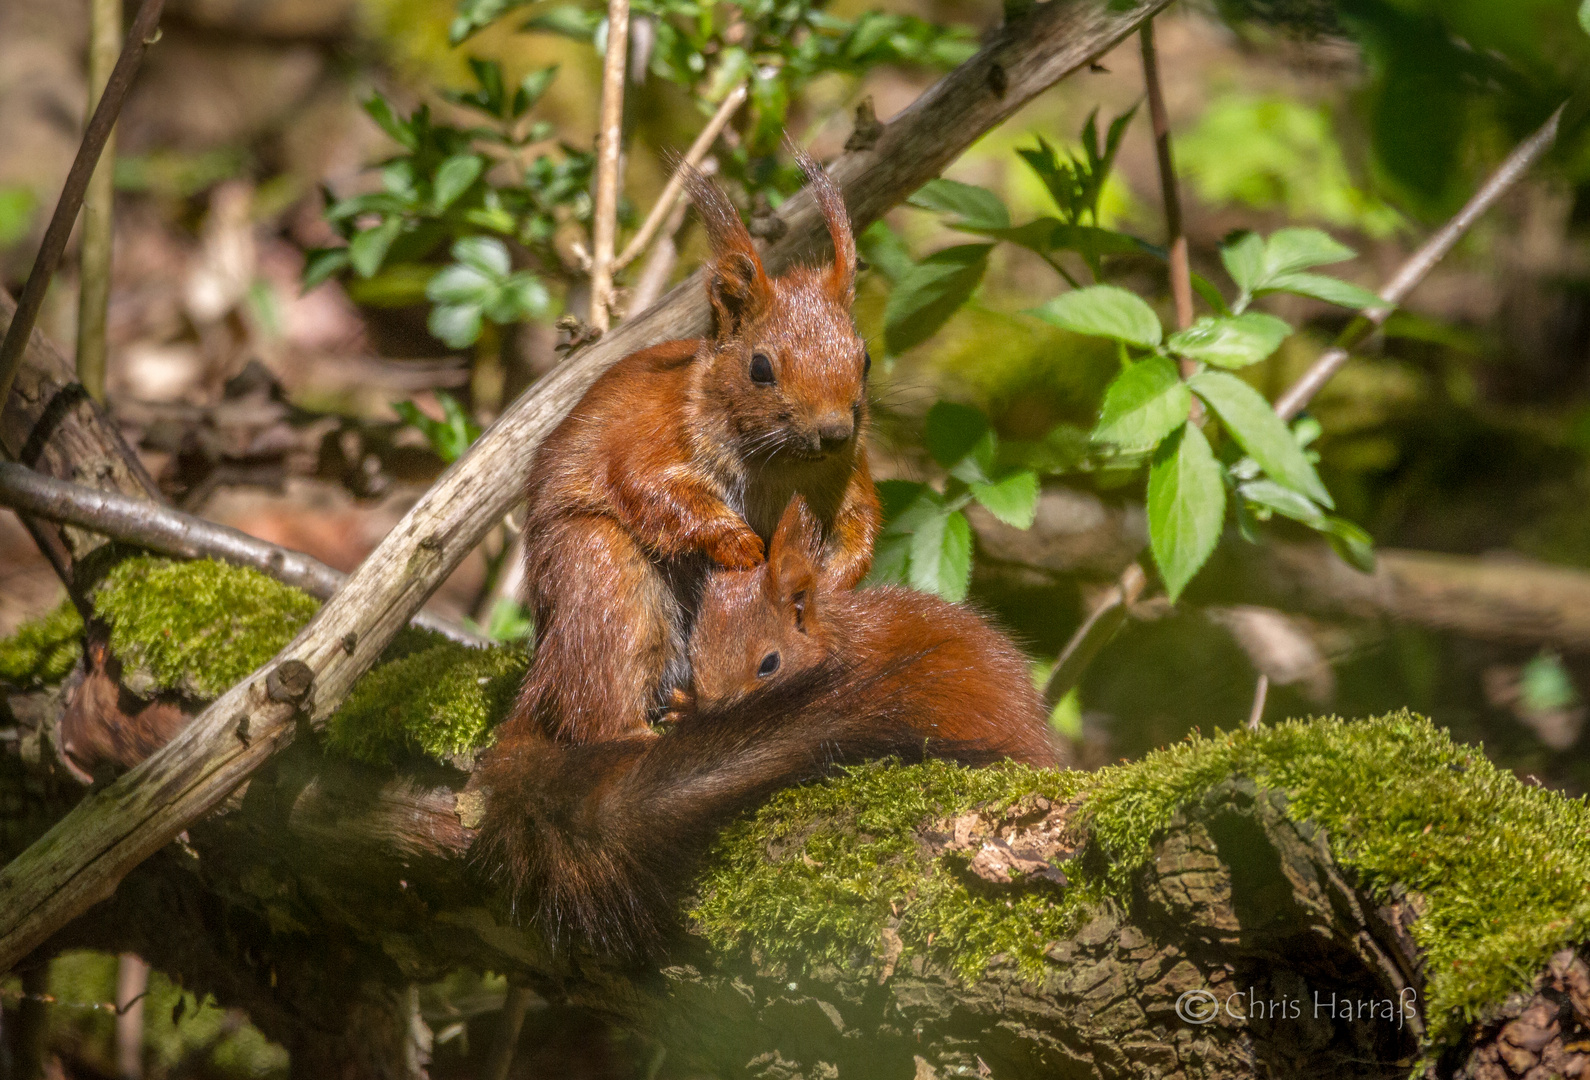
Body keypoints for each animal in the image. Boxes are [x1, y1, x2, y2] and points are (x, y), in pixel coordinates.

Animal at [502, 151, 884, 747]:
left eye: (863, 359)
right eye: (760, 368)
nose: (835, 431)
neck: (780, 463)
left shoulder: (846, 474)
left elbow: (860, 525)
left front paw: (831, 581)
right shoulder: (648, 439)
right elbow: (653, 490)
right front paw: (740, 546)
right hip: (603, 580)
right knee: (595, 703)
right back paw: (636, 732)